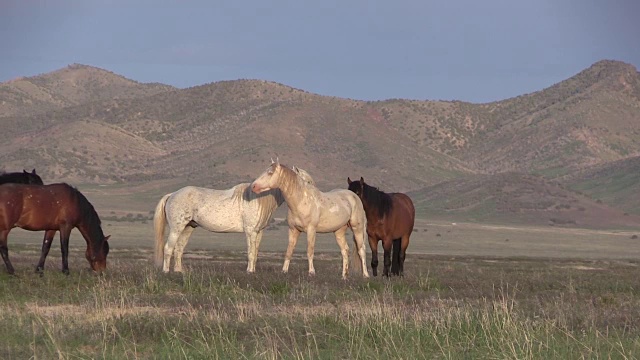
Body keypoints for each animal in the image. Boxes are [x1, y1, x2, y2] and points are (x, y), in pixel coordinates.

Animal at [152, 184, 282, 272]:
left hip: (187, 228)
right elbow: (251, 252)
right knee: (168, 248)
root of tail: (172, 194)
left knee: (178, 249)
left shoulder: (259, 232)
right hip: (176, 229)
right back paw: (166, 271)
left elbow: (255, 253)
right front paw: (250, 271)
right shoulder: (251, 231)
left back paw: (179, 271)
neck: (259, 199)